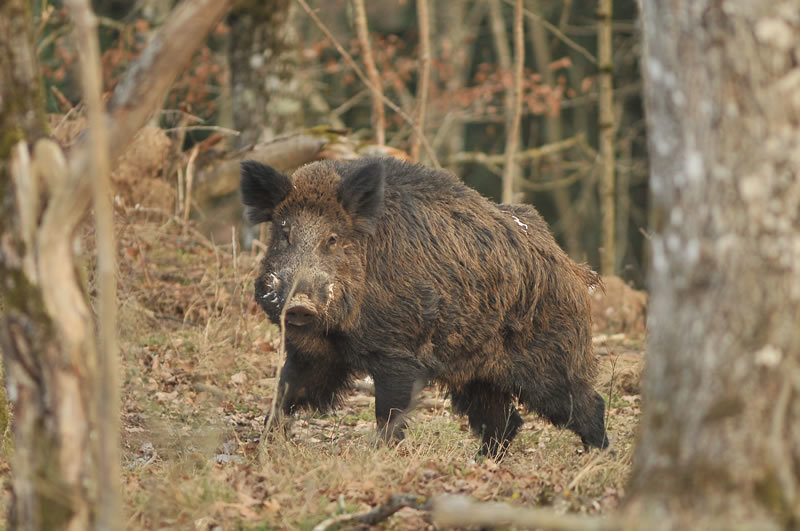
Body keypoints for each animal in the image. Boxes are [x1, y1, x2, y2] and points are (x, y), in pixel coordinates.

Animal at [241, 157, 608, 458]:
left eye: (332, 238)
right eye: (284, 233)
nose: (299, 306)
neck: (336, 332)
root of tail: (570, 266)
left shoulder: (398, 355)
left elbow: (388, 412)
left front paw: (382, 456)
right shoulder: (313, 354)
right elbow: (285, 393)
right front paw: (264, 446)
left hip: (551, 363)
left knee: (587, 404)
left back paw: (598, 457)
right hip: (476, 376)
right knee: (505, 421)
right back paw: (480, 462)